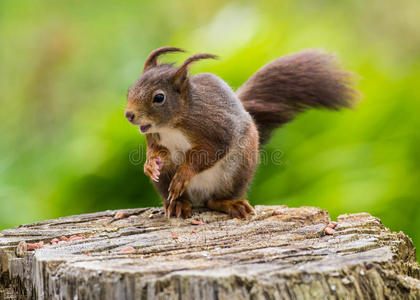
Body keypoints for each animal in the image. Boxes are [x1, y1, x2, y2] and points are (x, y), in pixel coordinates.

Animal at [124, 47, 358, 220]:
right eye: (130, 90)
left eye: (159, 98)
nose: (129, 115)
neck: (172, 124)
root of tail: (199, 195)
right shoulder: (155, 138)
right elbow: (159, 152)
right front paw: (151, 164)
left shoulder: (216, 127)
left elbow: (209, 152)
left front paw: (184, 174)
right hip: (165, 181)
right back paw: (178, 204)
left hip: (238, 170)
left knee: (214, 200)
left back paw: (229, 203)